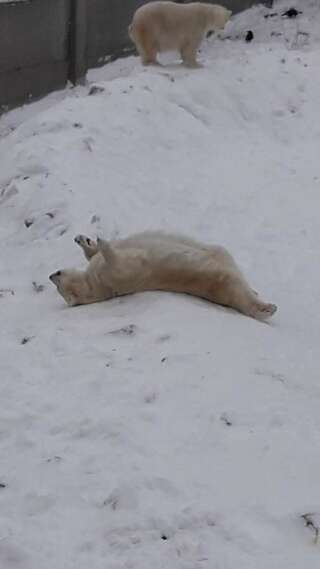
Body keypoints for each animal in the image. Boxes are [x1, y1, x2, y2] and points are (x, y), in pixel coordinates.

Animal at [48, 230, 276, 320]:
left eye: (57, 277)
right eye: (59, 287)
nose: (51, 275)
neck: (94, 286)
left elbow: (93, 255)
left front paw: (84, 239)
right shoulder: (113, 278)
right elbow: (121, 265)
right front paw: (104, 243)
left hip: (219, 253)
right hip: (216, 280)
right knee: (236, 292)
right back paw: (267, 308)